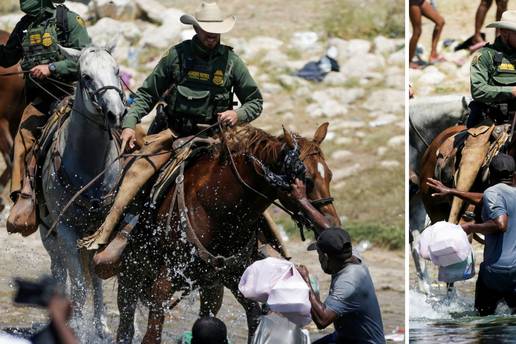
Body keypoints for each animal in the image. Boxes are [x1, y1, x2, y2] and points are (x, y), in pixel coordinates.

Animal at [38, 44, 125, 338]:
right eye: (86, 76)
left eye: (117, 70)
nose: (116, 113)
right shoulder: (65, 230)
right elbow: (77, 284)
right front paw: (75, 325)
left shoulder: (101, 229)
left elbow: (96, 278)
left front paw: (101, 325)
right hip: (49, 233)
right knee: (59, 269)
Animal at [116, 122, 338, 342]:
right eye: (307, 179)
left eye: (330, 175)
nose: (332, 224)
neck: (215, 206)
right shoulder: (164, 282)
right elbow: (152, 335)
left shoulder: (231, 277)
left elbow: (251, 318)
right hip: (130, 274)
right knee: (125, 325)